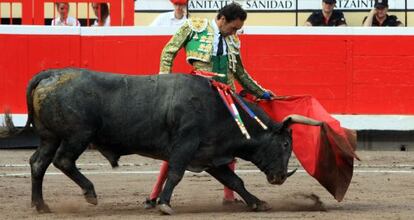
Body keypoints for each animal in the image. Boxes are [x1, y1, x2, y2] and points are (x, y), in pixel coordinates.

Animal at [0, 68, 320, 213]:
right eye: (286, 145)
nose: (280, 177)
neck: (219, 109)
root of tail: (51, 74)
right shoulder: (185, 146)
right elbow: (176, 174)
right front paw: (165, 204)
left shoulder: (210, 156)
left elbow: (235, 181)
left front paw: (257, 203)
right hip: (77, 136)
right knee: (63, 161)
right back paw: (90, 193)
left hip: (49, 136)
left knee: (38, 163)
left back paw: (40, 205)